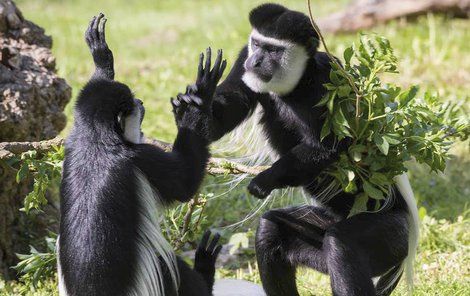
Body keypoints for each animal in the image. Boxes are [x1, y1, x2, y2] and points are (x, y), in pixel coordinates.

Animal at [57, 13, 227, 296]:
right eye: (134, 106)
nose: (141, 103)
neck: (95, 139)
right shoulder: (141, 157)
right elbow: (185, 182)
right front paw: (199, 97)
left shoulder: (71, 144)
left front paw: (102, 58)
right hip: (157, 273)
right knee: (178, 273)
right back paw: (205, 269)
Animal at [173, 2, 418, 296]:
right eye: (257, 45)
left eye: (274, 50)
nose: (256, 62)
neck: (297, 84)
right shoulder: (244, 60)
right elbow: (222, 119)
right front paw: (197, 97)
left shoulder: (330, 79)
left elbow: (328, 146)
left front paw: (264, 180)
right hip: (319, 230)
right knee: (272, 229)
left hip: (392, 233)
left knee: (342, 245)